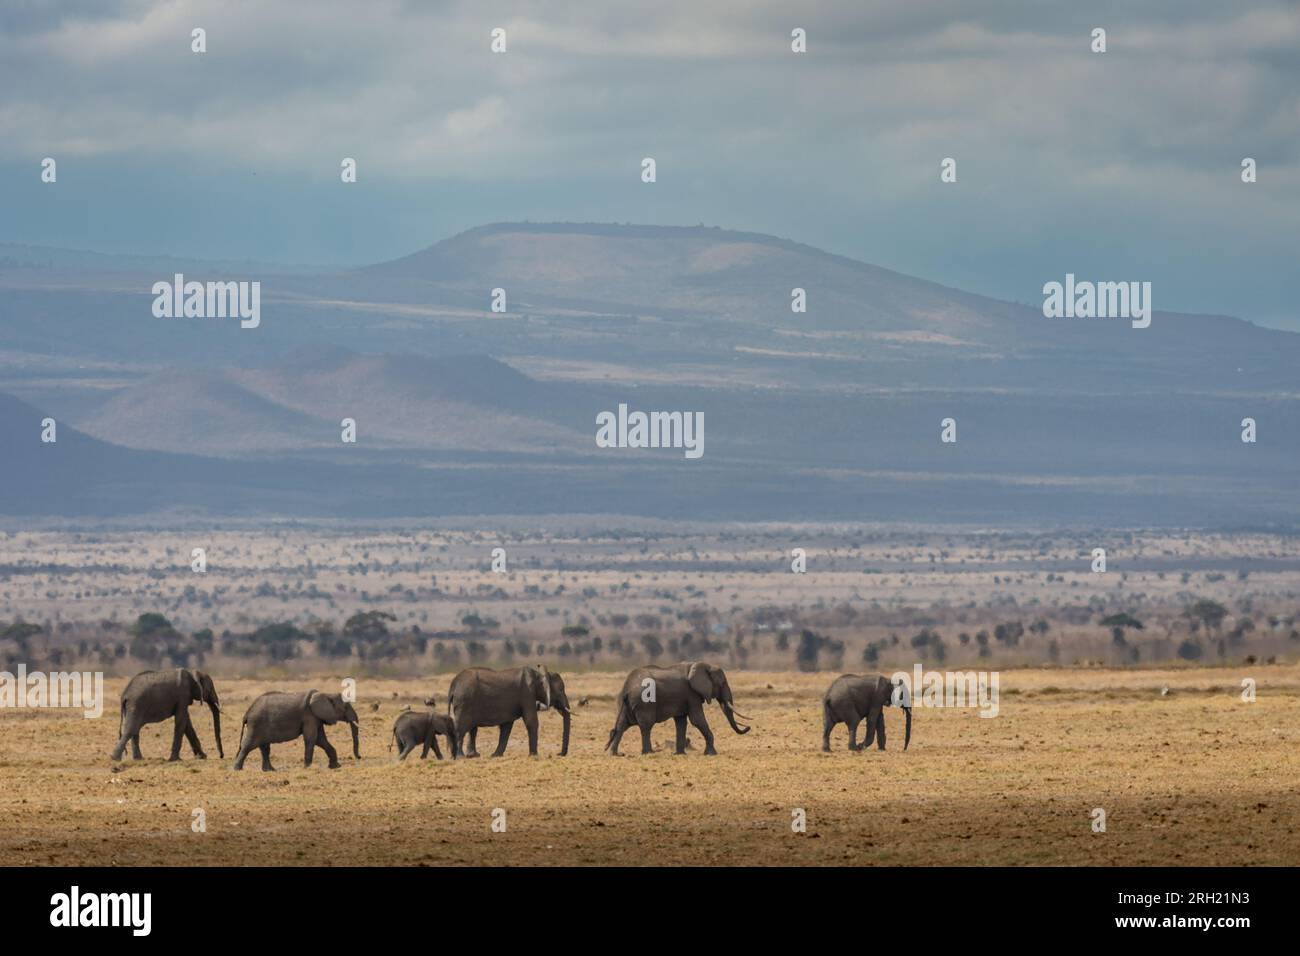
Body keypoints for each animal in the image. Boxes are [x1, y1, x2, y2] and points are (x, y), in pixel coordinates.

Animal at [605, 661, 751, 756]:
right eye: (722, 683)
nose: (748, 727)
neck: (703, 665)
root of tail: (627, 687)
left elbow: (681, 722)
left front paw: (680, 754)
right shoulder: (691, 694)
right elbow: (697, 720)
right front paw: (712, 754)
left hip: (624, 703)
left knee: (622, 725)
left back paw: (615, 754)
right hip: (644, 702)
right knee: (646, 725)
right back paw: (649, 753)